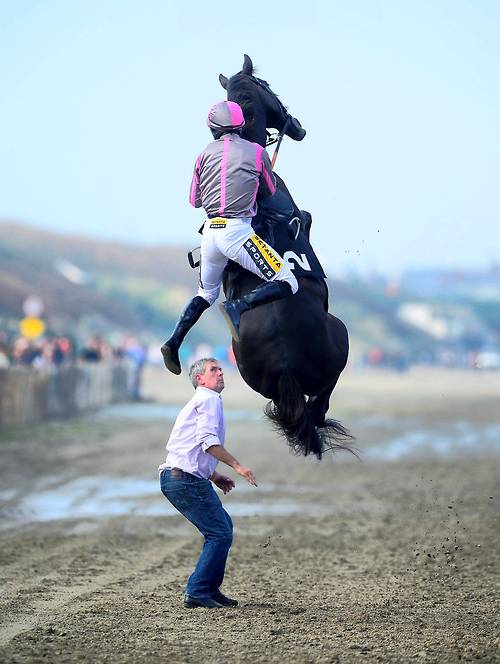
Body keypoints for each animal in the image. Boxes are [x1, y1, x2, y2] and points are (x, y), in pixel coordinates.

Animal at [221, 54, 354, 460]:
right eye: (271, 90)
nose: (297, 127)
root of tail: (284, 364)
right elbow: (306, 217)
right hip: (340, 339)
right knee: (321, 400)